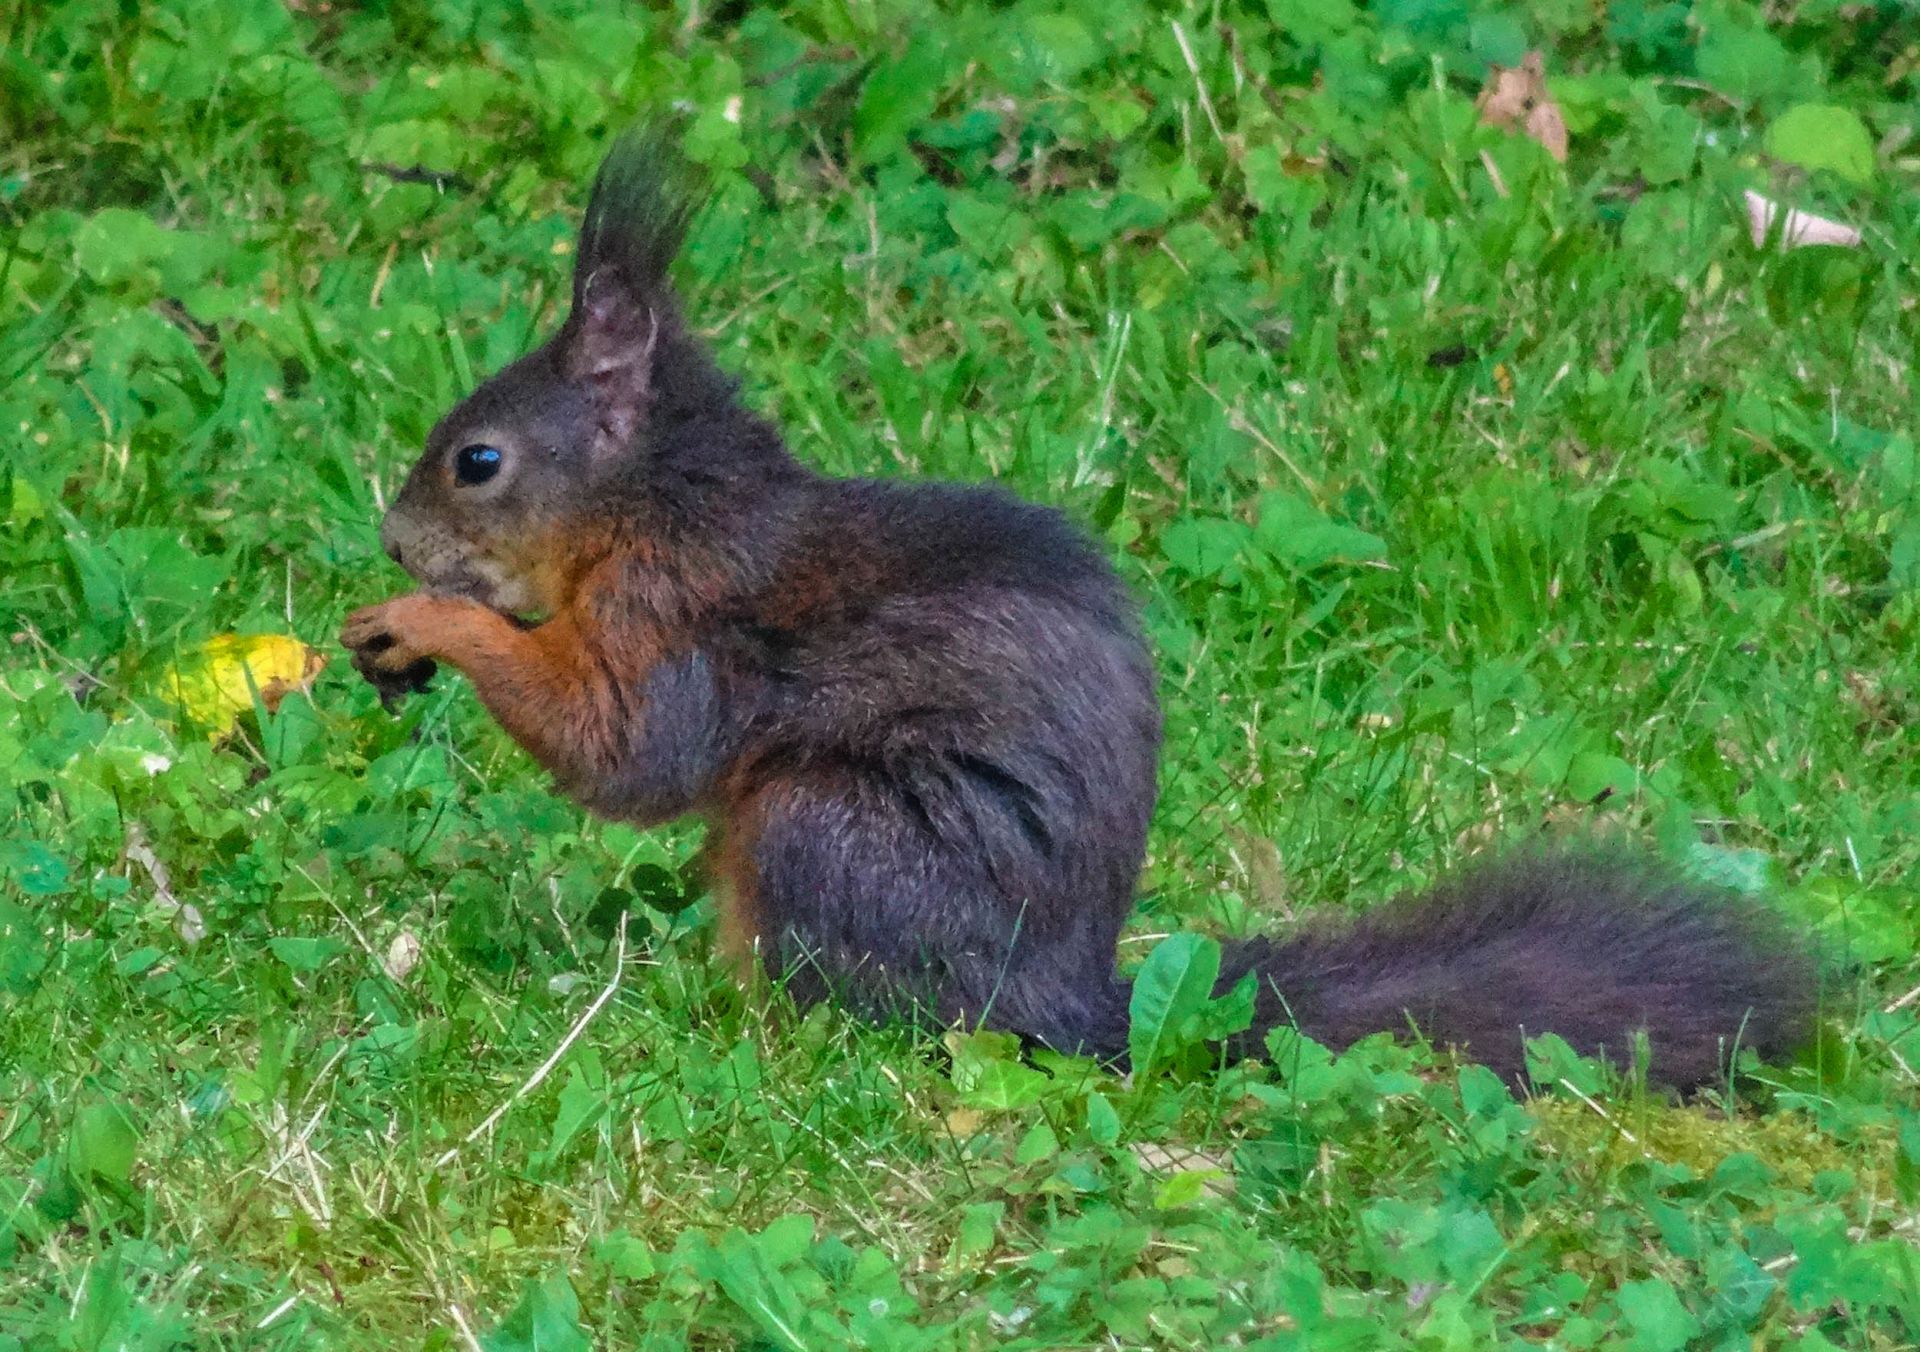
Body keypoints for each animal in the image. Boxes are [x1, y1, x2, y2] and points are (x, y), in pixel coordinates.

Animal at [342, 133, 1813, 1091]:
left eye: (478, 462)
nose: (396, 533)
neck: (653, 498)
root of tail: (1067, 1001)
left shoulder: (679, 617)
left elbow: (628, 753)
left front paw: (419, 618)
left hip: (829, 836)